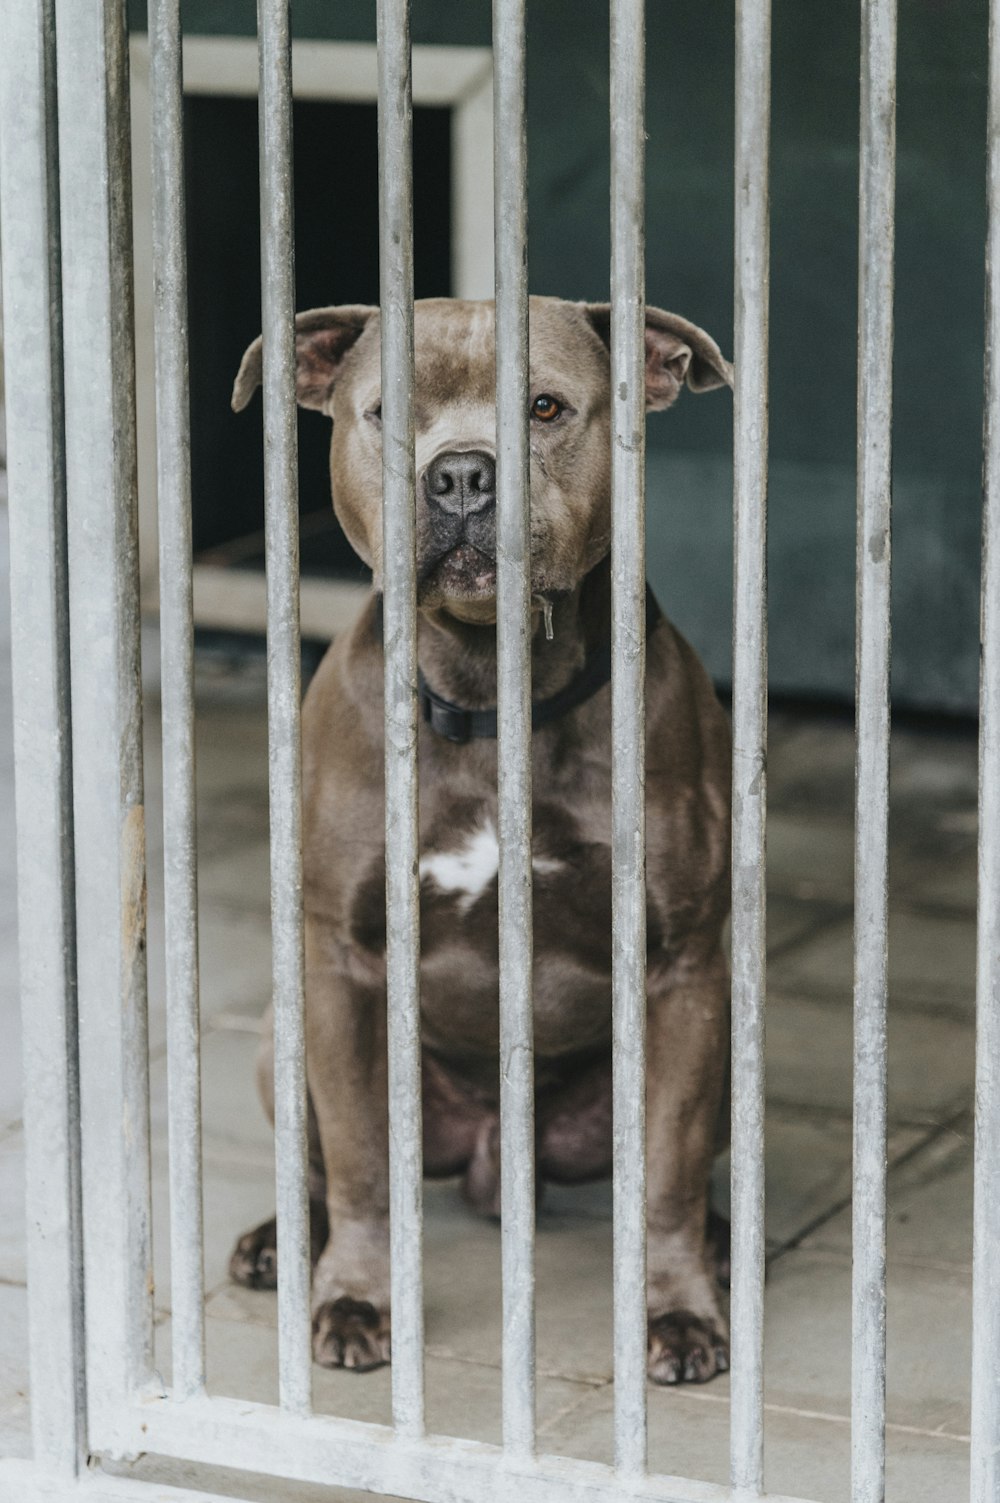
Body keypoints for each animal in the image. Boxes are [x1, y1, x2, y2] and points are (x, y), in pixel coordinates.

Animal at [225, 293, 733, 1382]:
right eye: (387, 410)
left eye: (545, 407)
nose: (460, 473)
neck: (493, 695)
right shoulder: (340, 966)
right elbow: (362, 1165)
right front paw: (357, 1297)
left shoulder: (683, 969)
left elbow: (666, 1178)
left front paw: (677, 1310)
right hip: (284, 1031)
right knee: (323, 1161)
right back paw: (281, 1241)